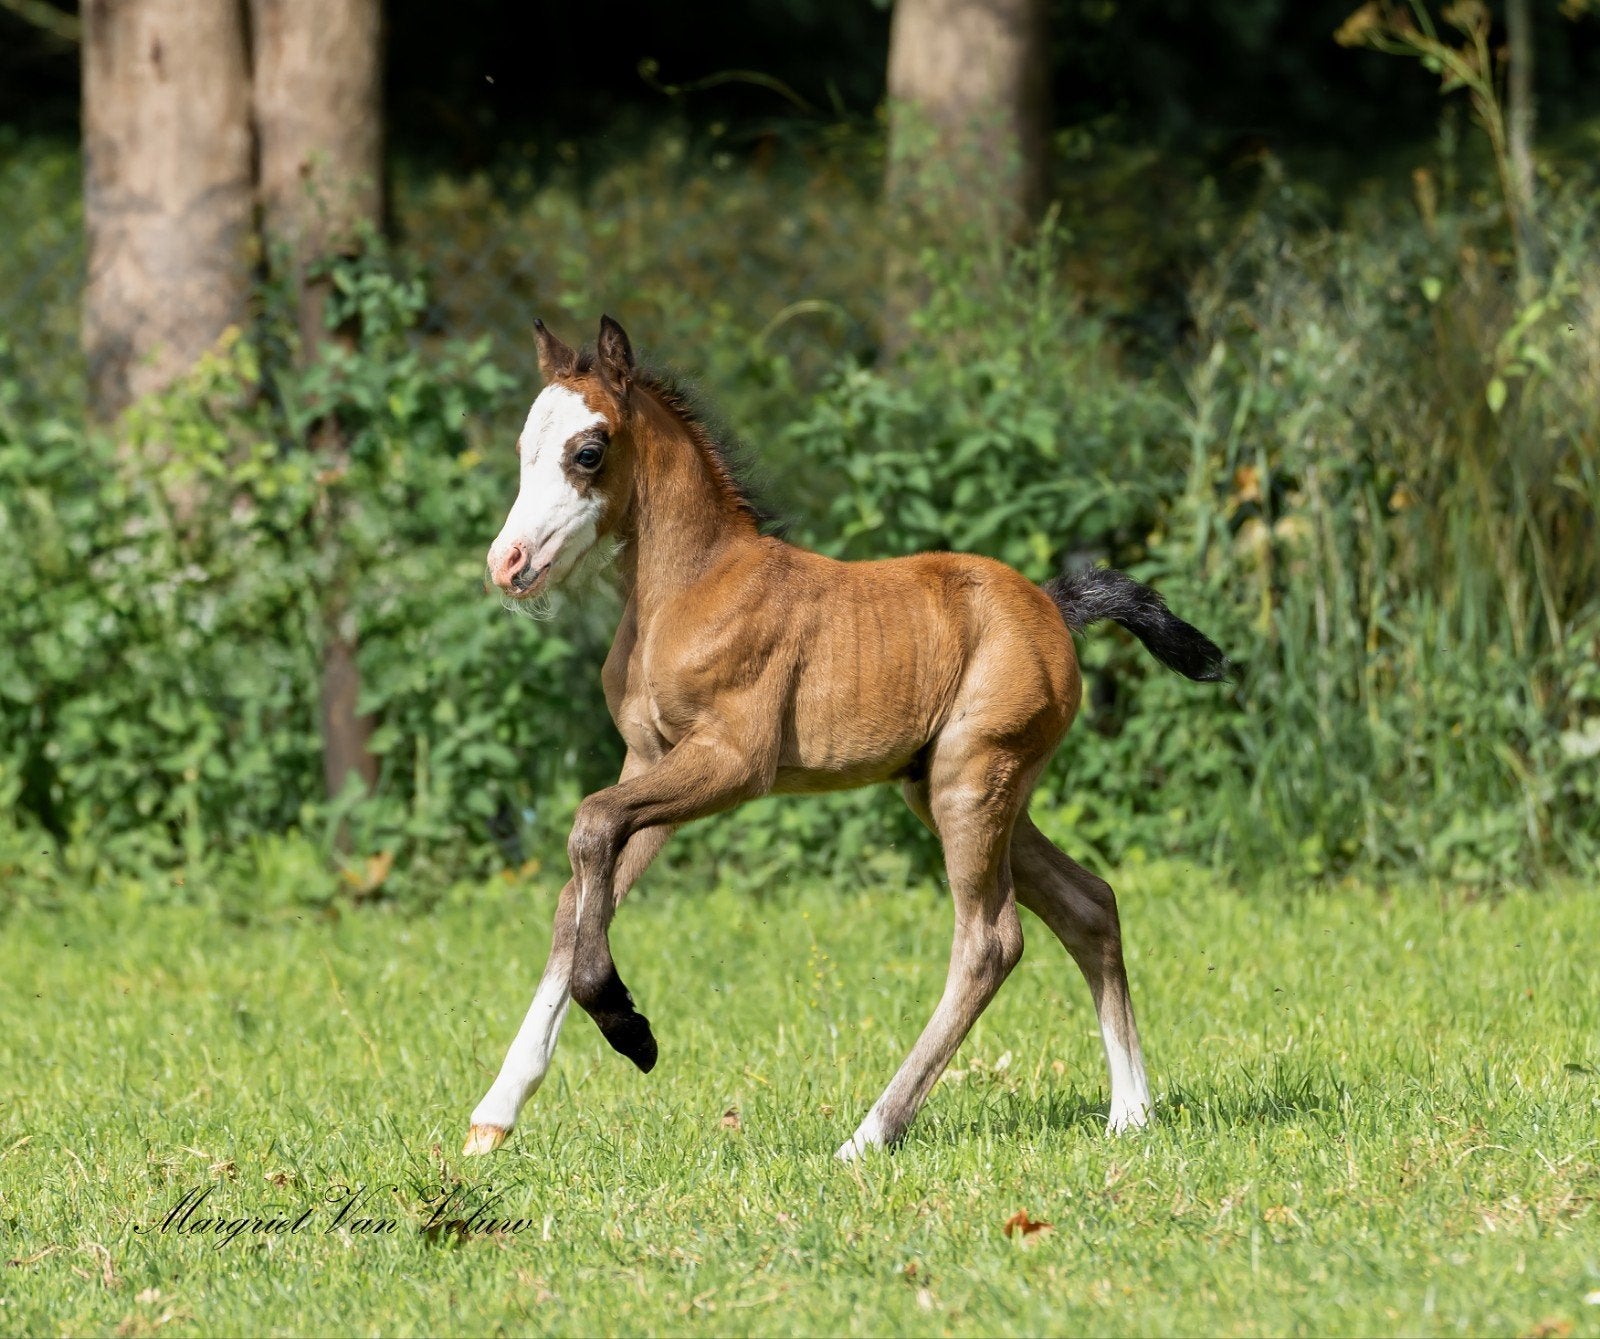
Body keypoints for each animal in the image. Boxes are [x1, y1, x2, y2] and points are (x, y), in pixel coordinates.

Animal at [463, 315, 1226, 1161]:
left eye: (589, 450)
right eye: (525, 446)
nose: (507, 562)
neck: (690, 588)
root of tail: (1053, 604)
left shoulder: (732, 762)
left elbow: (590, 824)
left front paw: (632, 1030)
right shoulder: (651, 759)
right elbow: (579, 890)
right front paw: (496, 1112)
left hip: (972, 780)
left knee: (991, 942)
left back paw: (868, 1135)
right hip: (960, 788)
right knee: (1091, 904)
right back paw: (1131, 1113)